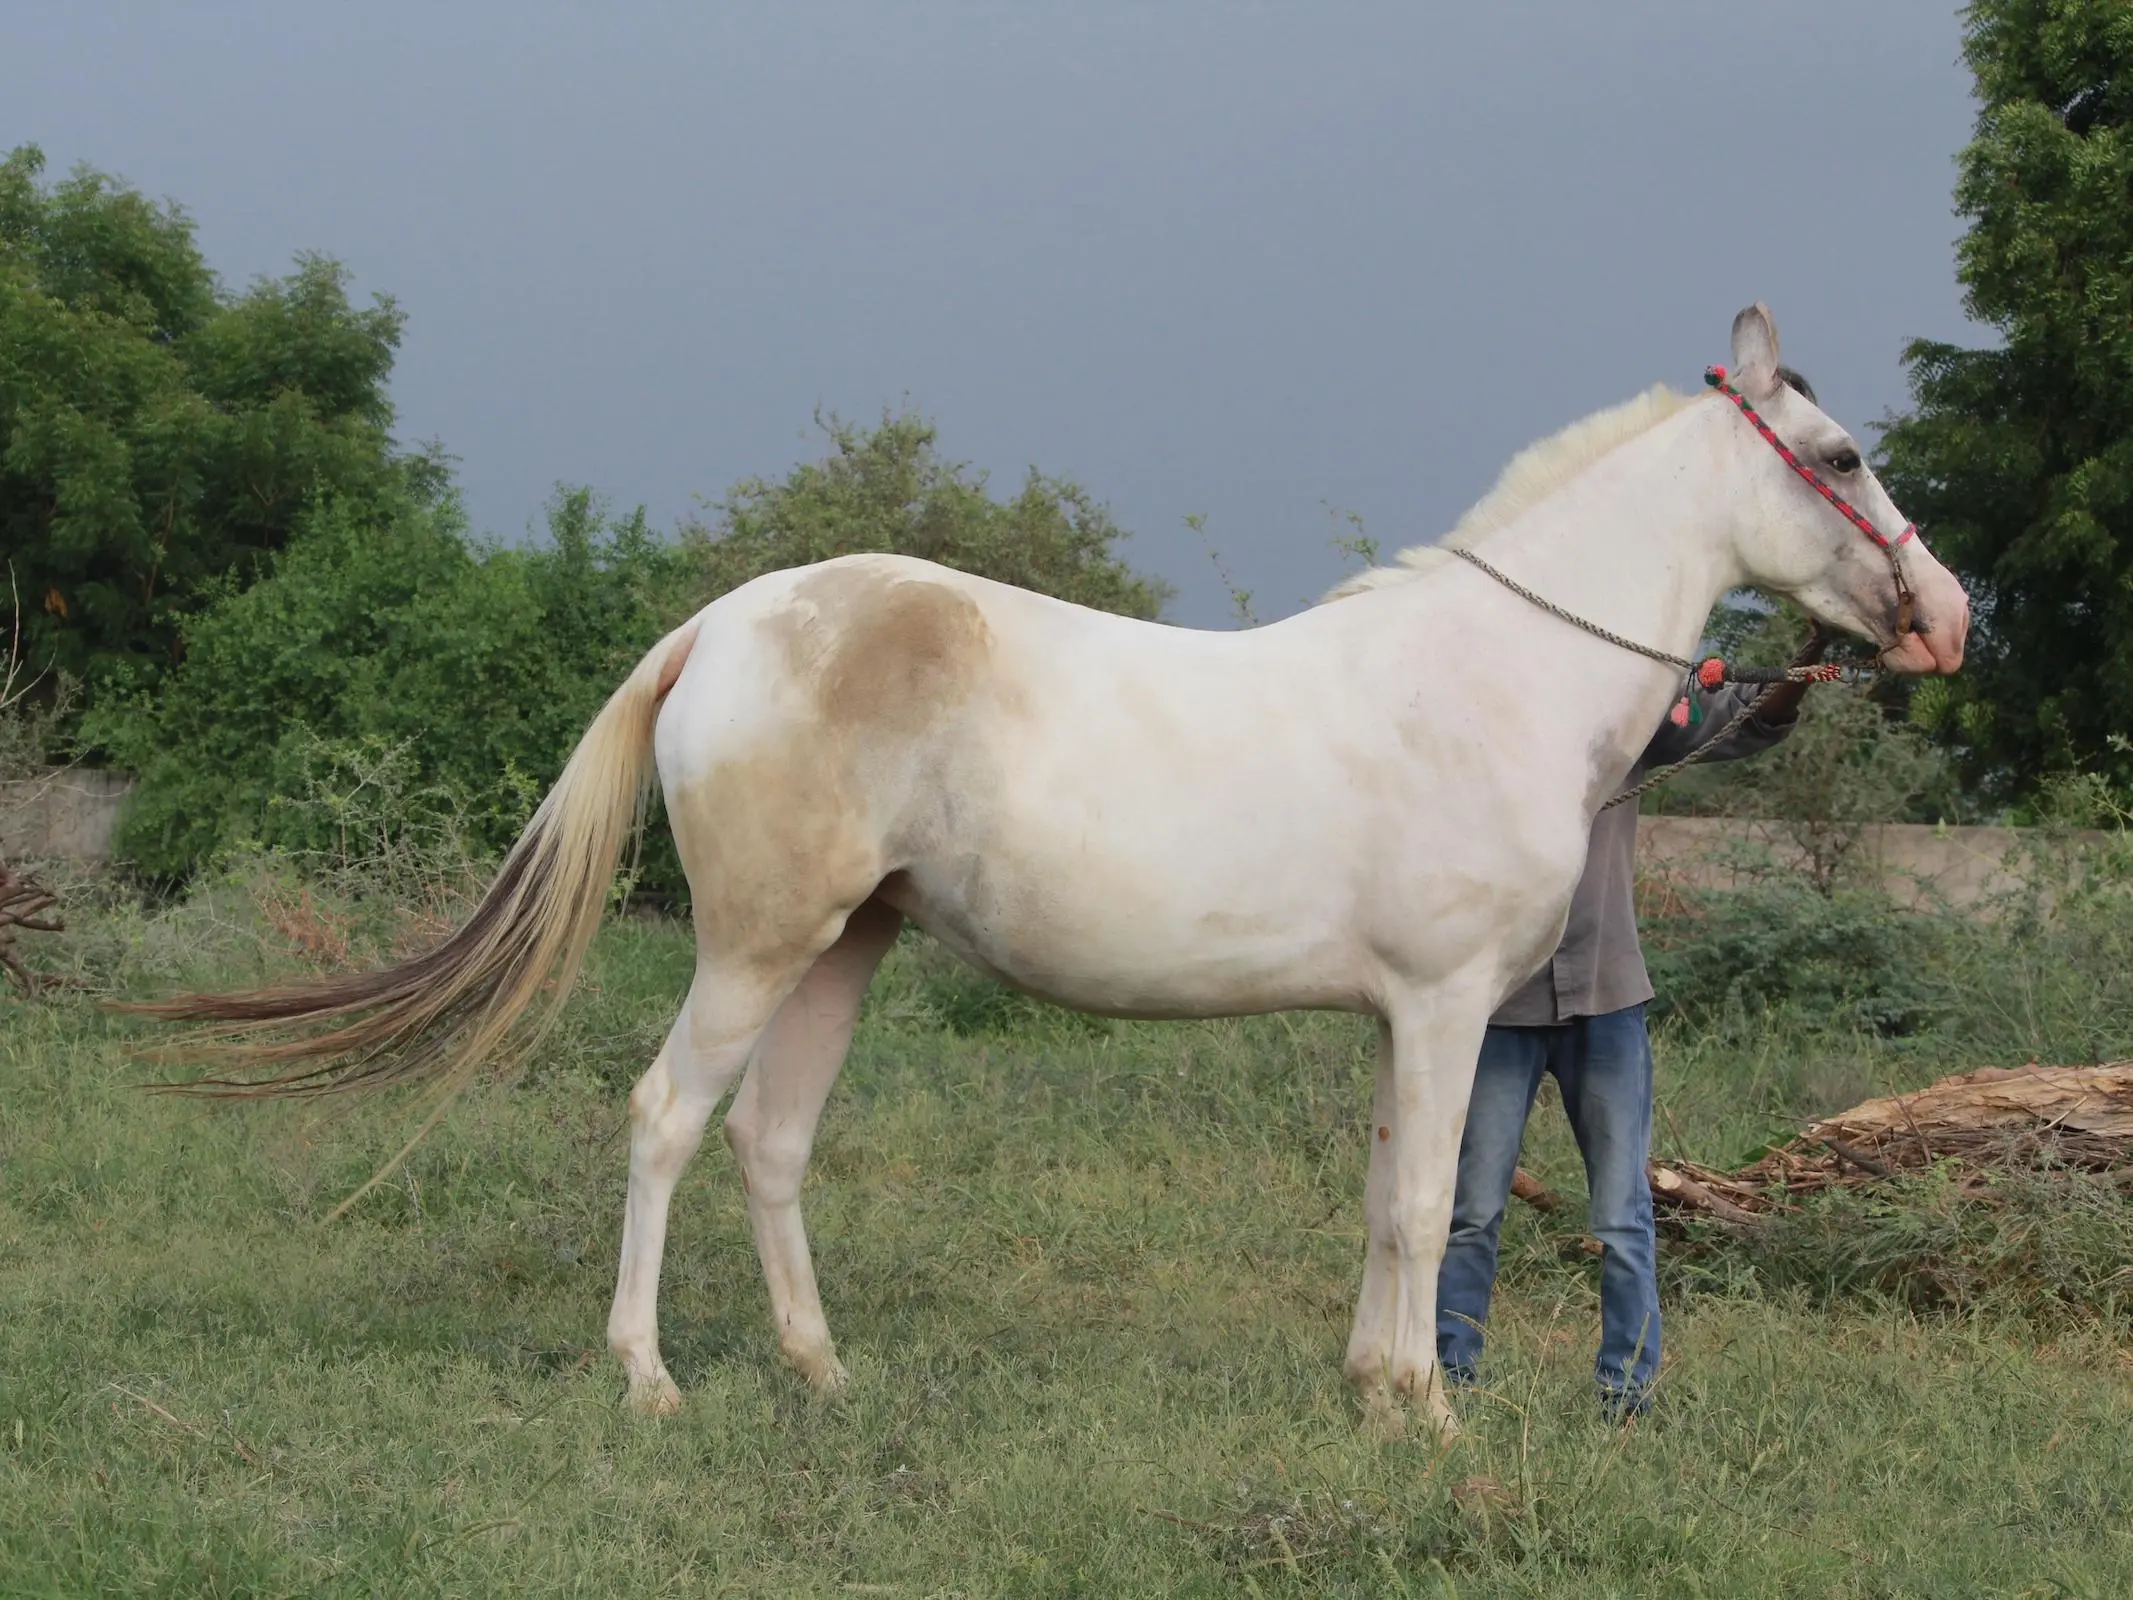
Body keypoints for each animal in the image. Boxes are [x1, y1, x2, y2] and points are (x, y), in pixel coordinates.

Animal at [146, 302, 1962, 1442]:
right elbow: (1419, 1208)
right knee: (666, 1120)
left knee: (770, 1141)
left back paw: (822, 1374)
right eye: (1845, 456)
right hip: (758, 947)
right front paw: (1432, 1418)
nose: (1943, 619)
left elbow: (1389, 1199)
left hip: (845, 953)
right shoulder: (1448, 1006)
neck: (1490, 671)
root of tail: (724, 623)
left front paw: (1374, 1392)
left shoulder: (1402, 1019)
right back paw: (649, 1381)